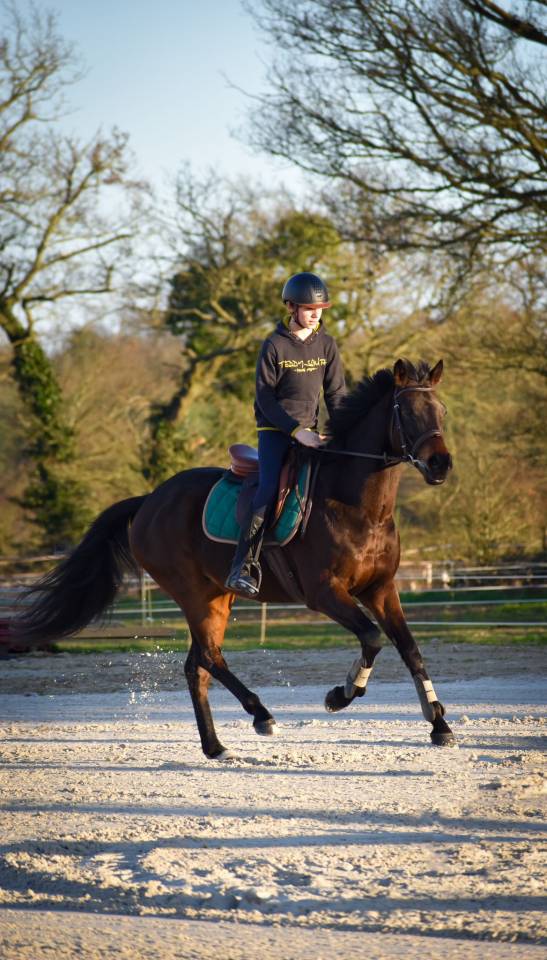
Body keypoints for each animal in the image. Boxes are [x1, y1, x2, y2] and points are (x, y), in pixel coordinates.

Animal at [14, 357, 455, 757]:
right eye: (407, 411)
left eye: (441, 411)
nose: (441, 464)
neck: (358, 507)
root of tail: (149, 501)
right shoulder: (325, 593)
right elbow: (372, 637)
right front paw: (341, 694)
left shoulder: (381, 589)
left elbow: (409, 648)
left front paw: (439, 723)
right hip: (194, 595)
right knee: (210, 657)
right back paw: (261, 715)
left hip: (217, 596)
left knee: (197, 666)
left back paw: (215, 746)